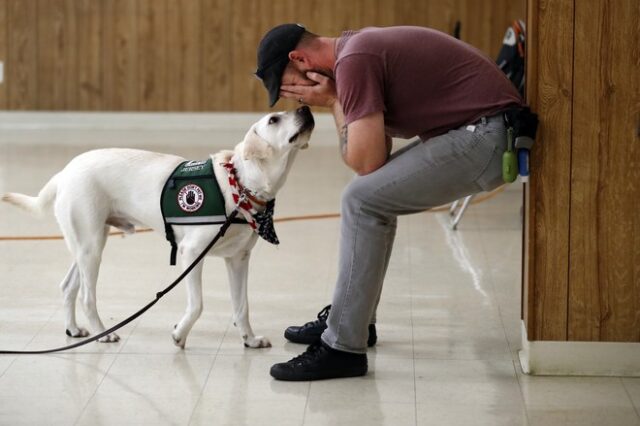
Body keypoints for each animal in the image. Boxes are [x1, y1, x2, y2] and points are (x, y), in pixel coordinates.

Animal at [1, 105, 316, 348]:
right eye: (273, 119)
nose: (305, 108)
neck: (239, 184)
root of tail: (65, 171)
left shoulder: (238, 260)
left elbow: (242, 307)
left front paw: (249, 340)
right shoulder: (191, 254)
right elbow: (197, 305)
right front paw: (180, 334)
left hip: (88, 243)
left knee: (68, 287)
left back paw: (74, 329)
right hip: (91, 247)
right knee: (87, 297)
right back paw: (103, 334)